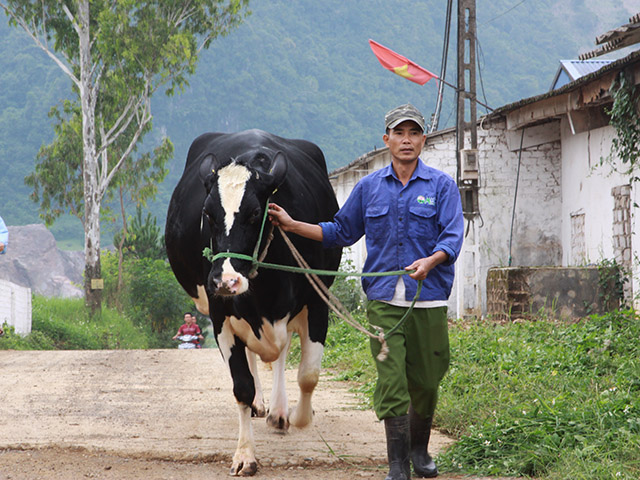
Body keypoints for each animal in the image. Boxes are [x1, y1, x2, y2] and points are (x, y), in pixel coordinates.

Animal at [168, 128, 342, 476]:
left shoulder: (317, 302)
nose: (226, 280)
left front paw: (298, 416)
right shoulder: (221, 315)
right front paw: (244, 455)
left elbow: (308, 375)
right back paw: (261, 406)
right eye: (207, 214)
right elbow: (242, 386)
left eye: (255, 213)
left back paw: (279, 411)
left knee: (283, 352)